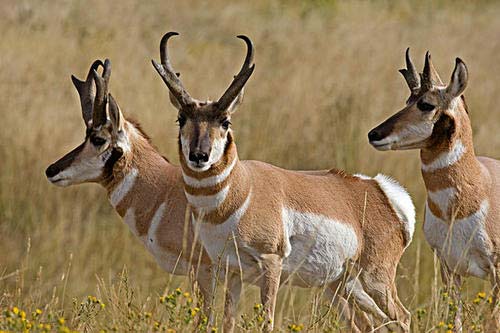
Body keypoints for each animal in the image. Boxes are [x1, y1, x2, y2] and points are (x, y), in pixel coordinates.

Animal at [153, 31, 418, 332]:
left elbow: (266, 321)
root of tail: (380, 190)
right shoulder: (232, 272)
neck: (241, 191)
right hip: (342, 286)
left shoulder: (271, 264)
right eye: (181, 118)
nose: (199, 156)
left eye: (225, 121)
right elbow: (227, 322)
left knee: (403, 316)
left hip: (375, 280)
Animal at [368, 50, 500, 330]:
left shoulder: (497, 271)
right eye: (408, 100)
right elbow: (454, 321)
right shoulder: (450, 270)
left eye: (426, 104)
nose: (374, 134)